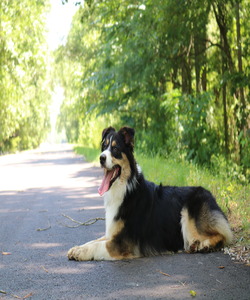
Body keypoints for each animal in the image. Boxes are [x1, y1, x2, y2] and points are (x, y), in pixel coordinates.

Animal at [68, 126, 232, 260]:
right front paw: (77, 248)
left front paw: (80, 252)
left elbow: (97, 245)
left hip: (189, 212)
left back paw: (204, 245)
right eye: (103, 146)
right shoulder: (112, 233)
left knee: (224, 235)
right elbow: (94, 240)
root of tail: (211, 196)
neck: (125, 188)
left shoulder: (123, 243)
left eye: (115, 149)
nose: (101, 158)